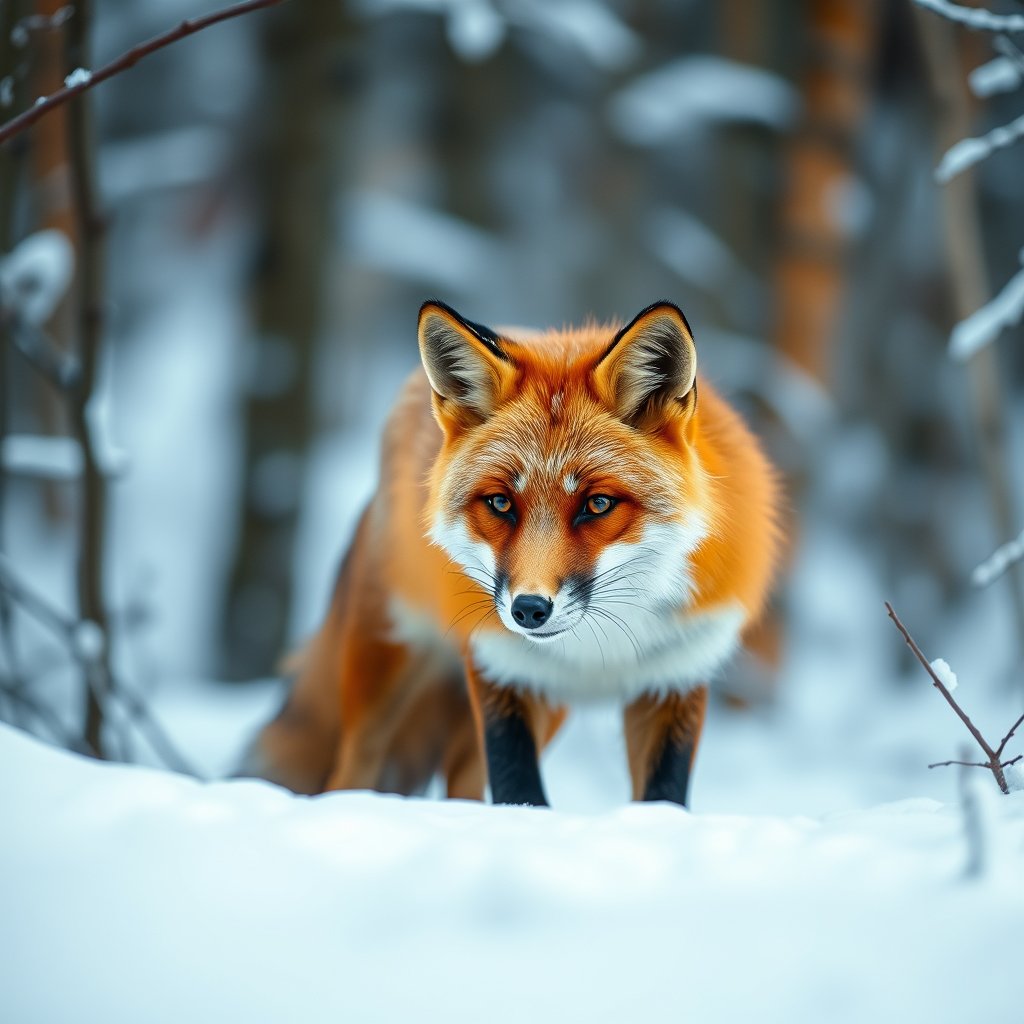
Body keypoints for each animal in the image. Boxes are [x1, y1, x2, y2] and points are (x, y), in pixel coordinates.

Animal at [242, 300, 781, 807]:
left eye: (598, 504)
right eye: (501, 503)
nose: (529, 610)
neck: (602, 647)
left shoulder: (676, 678)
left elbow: (661, 796)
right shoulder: (500, 667)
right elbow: (519, 790)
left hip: (546, 710)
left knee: (461, 785)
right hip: (382, 667)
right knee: (352, 773)